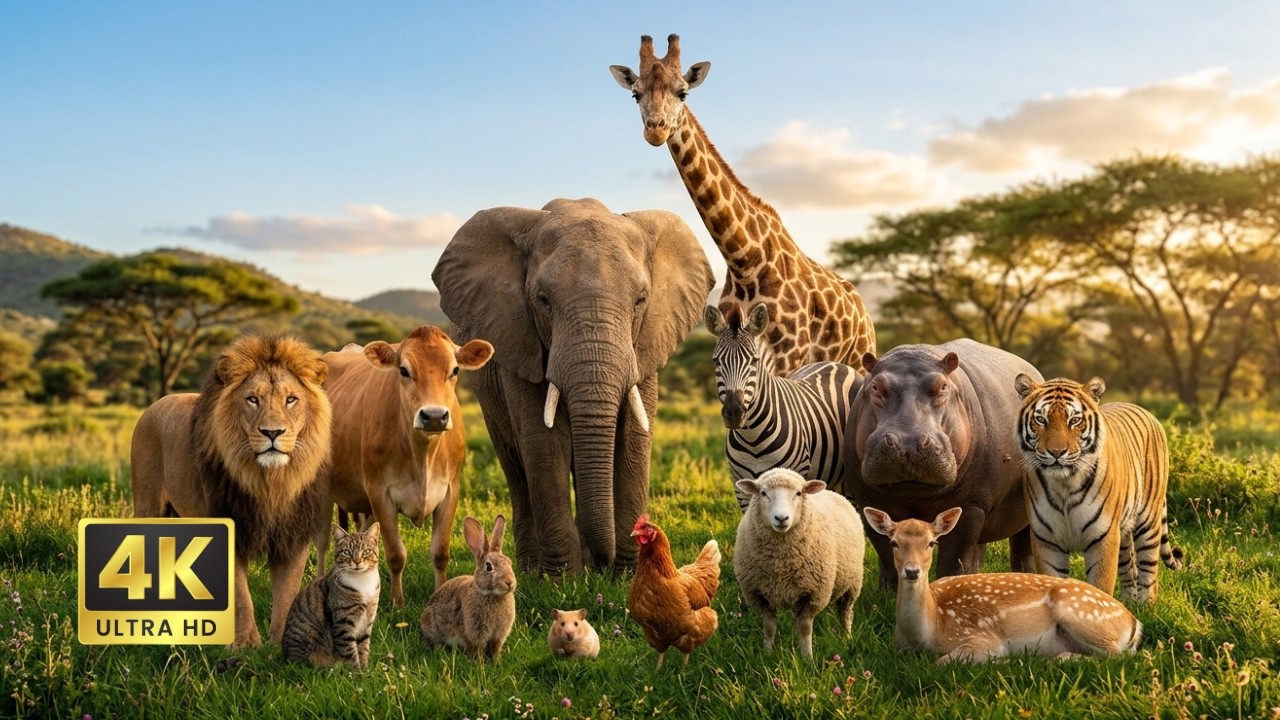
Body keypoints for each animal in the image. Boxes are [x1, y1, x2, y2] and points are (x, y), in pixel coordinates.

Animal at [862, 506, 1144, 664]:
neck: (930, 629)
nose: (912, 571)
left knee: (1116, 656)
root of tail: (1133, 623)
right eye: (893, 542)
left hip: (1081, 614)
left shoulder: (983, 639)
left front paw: (1001, 662)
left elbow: (942, 661)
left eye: (932, 542)